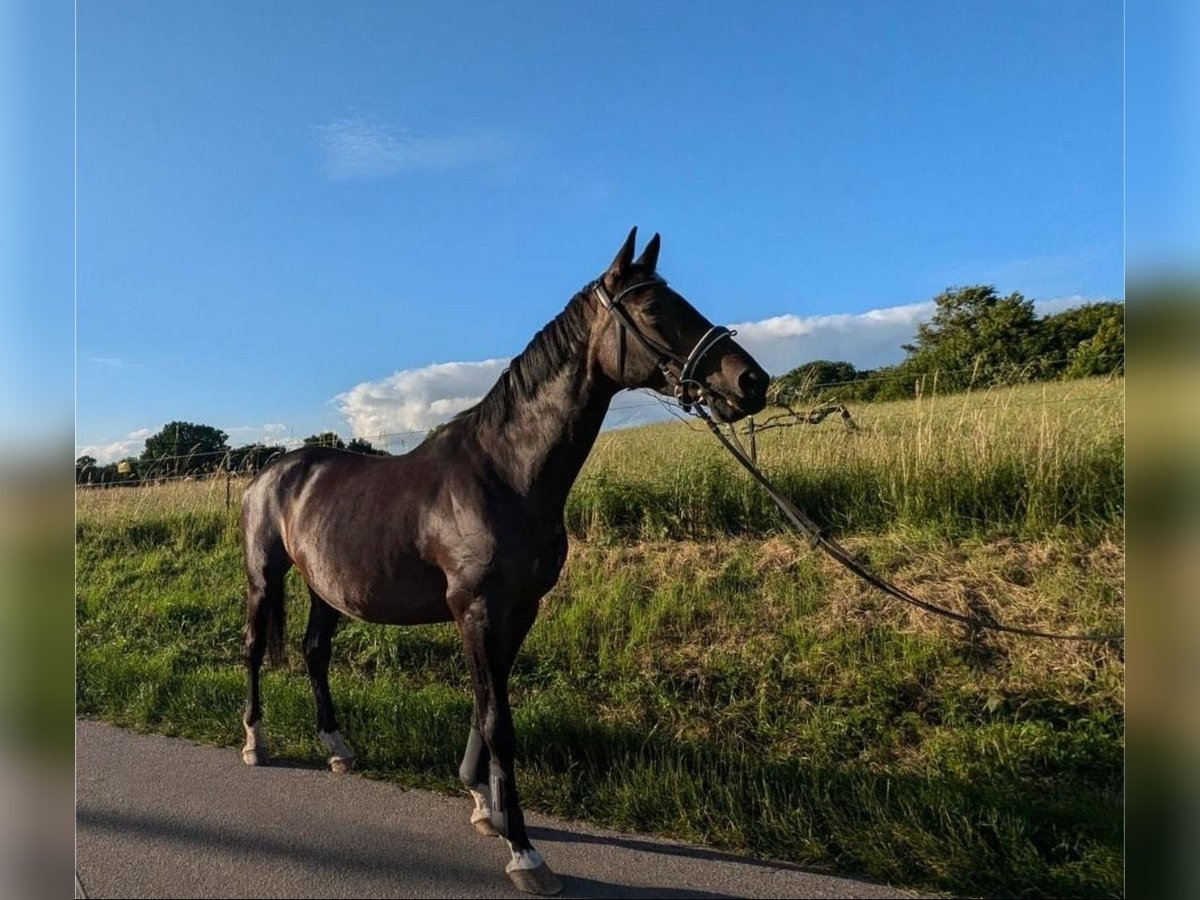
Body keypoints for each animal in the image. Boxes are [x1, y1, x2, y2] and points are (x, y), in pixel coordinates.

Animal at [238, 230, 772, 897]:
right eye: (653, 309)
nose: (751, 381)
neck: (504, 473)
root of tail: (271, 470)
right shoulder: (478, 610)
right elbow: (499, 723)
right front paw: (524, 851)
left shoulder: (518, 611)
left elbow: (484, 709)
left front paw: (483, 806)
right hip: (264, 578)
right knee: (253, 649)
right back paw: (255, 742)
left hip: (326, 588)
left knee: (314, 652)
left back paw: (337, 746)